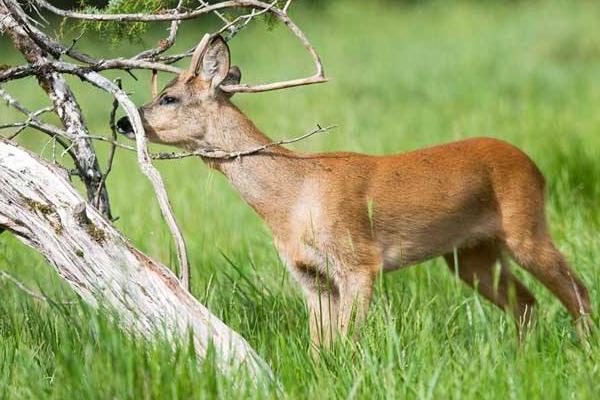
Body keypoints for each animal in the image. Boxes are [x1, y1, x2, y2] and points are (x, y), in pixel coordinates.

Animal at [116, 35, 592, 354]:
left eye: (169, 97)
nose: (122, 121)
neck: (292, 197)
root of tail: (533, 165)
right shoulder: (310, 276)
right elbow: (320, 348)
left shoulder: (360, 261)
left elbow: (348, 342)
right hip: (470, 255)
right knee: (526, 303)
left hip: (526, 225)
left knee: (578, 290)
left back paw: (584, 354)